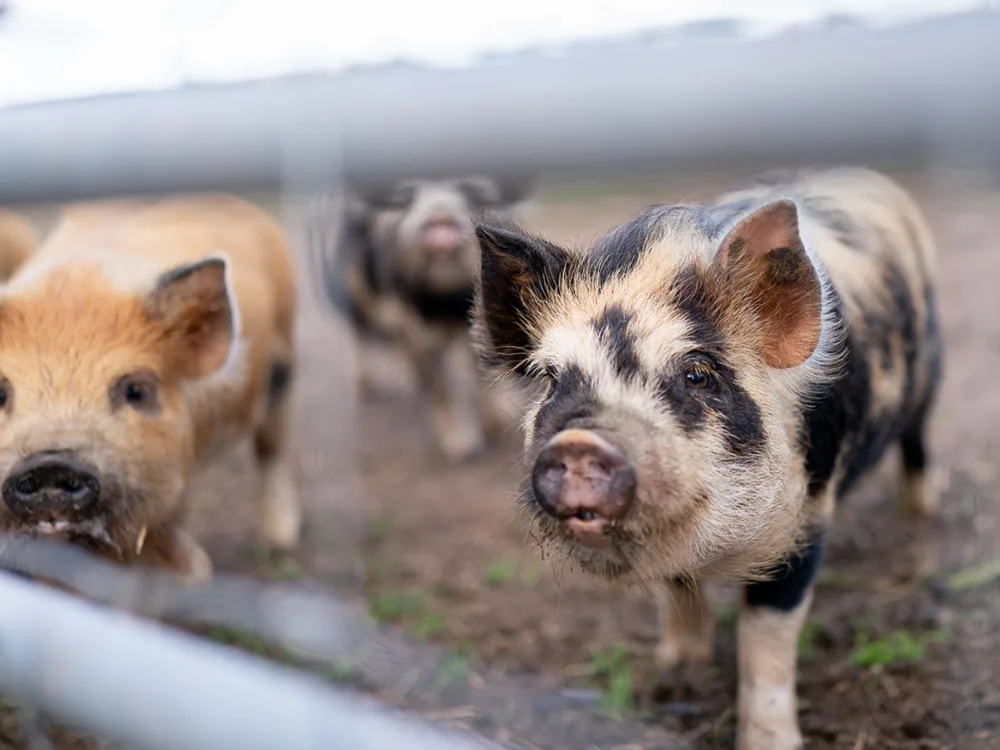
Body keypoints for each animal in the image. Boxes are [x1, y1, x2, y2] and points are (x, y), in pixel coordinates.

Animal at [0, 195, 302, 582]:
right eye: (0, 394)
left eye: (136, 392)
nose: (50, 463)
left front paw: (194, 575)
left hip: (284, 360)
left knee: (271, 448)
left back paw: (279, 540)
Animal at [310, 176, 533, 462]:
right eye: (410, 199)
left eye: (465, 194)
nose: (440, 214)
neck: (445, 302)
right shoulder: (413, 327)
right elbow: (438, 383)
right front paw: (462, 449)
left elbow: (483, 367)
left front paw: (498, 429)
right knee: (363, 334)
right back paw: (366, 385)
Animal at [471, 167, 942, 750]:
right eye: (553, 379)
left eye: (697, 373)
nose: (581, 443)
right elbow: (677, 592)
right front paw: (675, 675)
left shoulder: (808, 515)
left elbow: (767, 637)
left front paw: (770, 741)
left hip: (929, 375)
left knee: (918, 440)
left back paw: (924, 510)